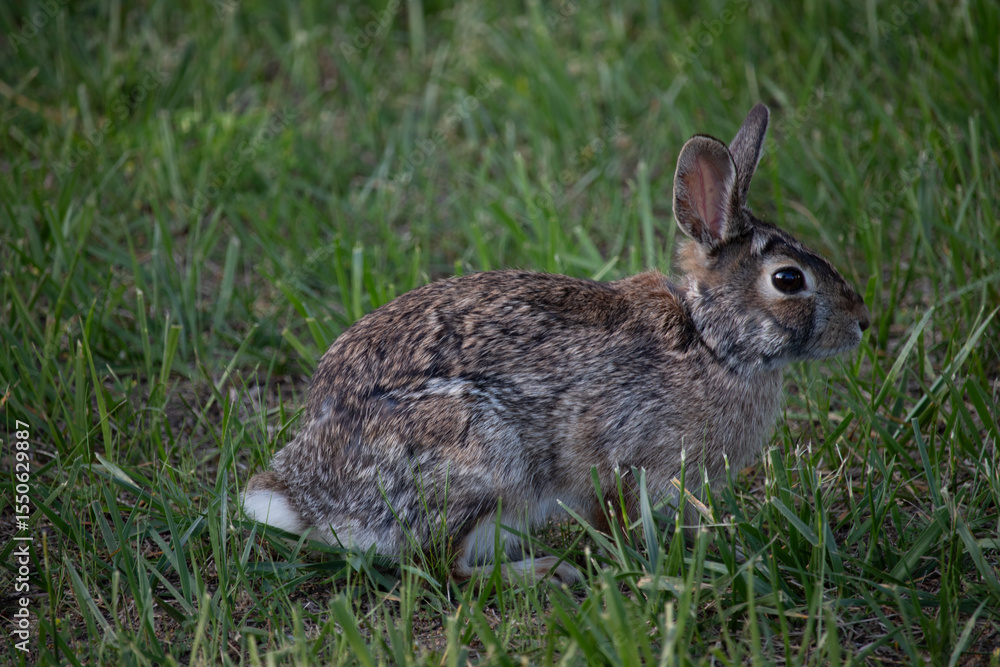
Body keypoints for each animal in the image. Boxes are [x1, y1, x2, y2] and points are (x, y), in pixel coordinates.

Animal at [242, 103, 871, 585]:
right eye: (788, 279)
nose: (862, 320)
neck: (711, 342)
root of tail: (309, 497)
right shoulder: (626, 463)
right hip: (482, 464)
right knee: (445, 568)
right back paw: (546, 572)